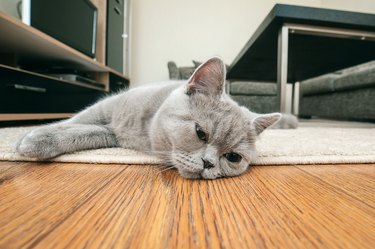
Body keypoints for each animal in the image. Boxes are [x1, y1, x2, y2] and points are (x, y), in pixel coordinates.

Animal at [16, 57, 288, 179]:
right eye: (200, 133)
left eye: (232, 157)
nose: (209, 163)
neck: (143, 130)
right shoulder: (106, 107)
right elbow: (75, 122)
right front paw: (34, 138)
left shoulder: (113, 134)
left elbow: (86, 133)